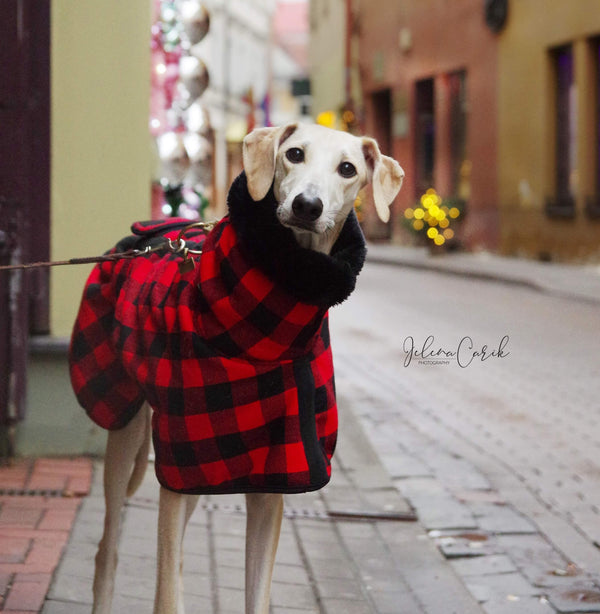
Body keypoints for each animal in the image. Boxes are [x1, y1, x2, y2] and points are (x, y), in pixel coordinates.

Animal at [70, 121, 404, 614]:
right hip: (127, 433)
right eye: (294, 153)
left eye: (348, 168)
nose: (307, 206)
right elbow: (166, 595)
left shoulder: (269, 480)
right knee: (107, 551)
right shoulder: (179, 470)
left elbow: (256, 593)